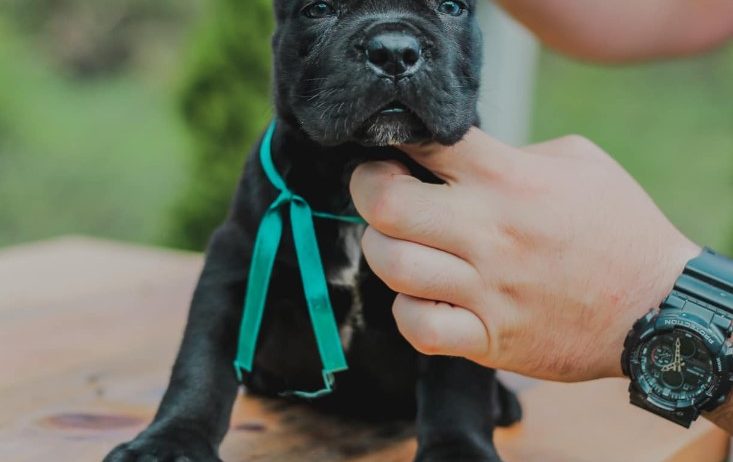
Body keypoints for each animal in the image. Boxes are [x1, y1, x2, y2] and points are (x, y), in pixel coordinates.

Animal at [106, 1, 520, 460]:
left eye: (451, 8)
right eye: (318, 9)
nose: (394, 51)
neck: (355, 164)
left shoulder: (459, 280)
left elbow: (457, 380)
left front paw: (458, 448)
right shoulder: (236, 264)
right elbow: (200, 362)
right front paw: (169, 440)